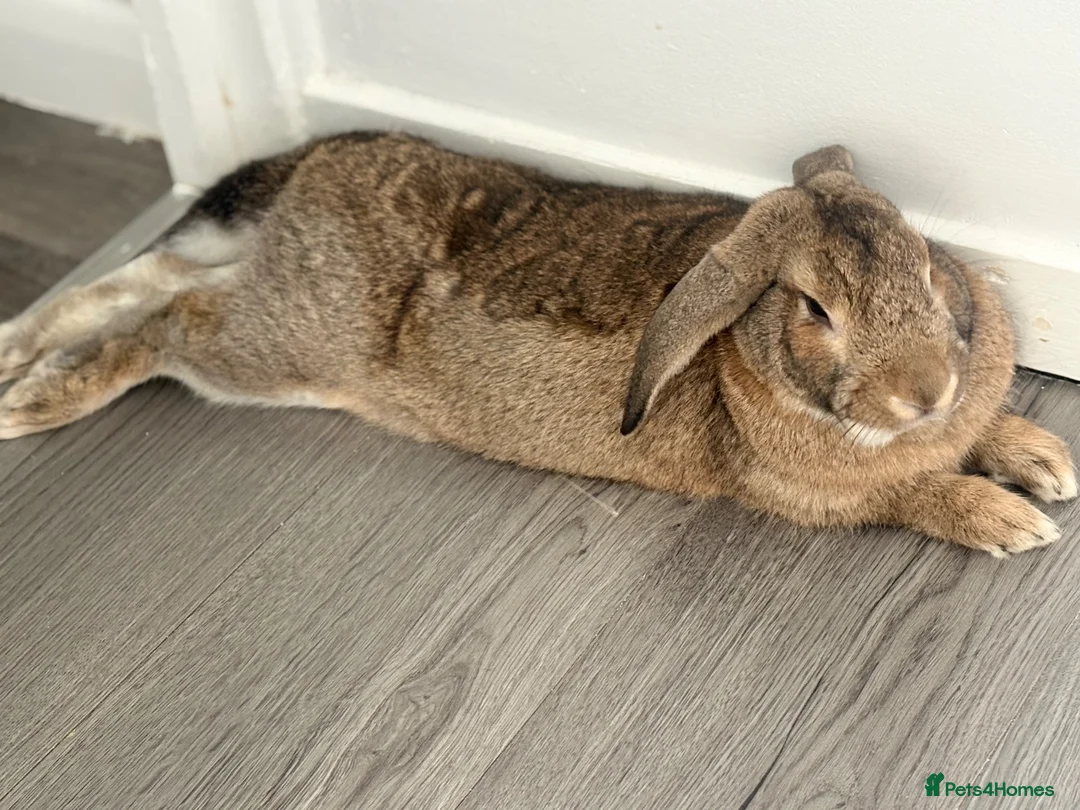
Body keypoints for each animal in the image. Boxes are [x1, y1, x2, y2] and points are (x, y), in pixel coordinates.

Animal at [0, 135, 1074, 556]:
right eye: (814, 309)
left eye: (929, 266)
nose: (927, 391)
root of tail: (319, 162)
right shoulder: (803, 493)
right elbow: (906, 493)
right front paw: (1010, 520)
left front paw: (1043, 459)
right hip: (278, 349)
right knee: (170, 323)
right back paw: (33, 398)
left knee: (153, 277)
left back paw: (16, 348)